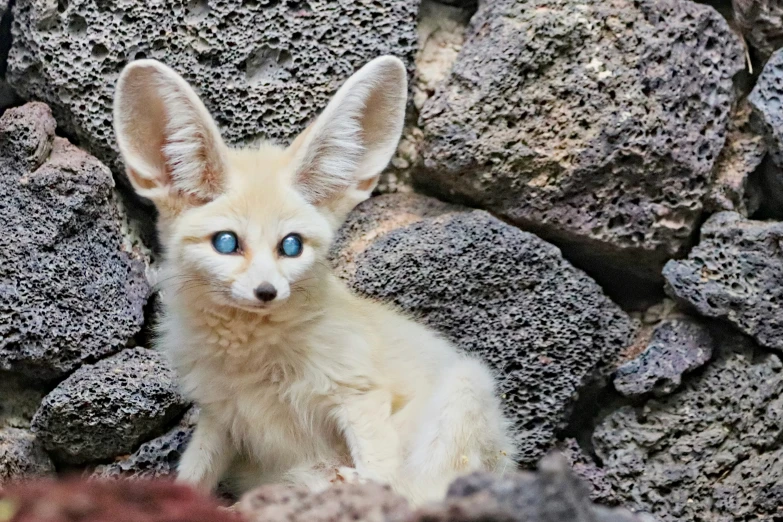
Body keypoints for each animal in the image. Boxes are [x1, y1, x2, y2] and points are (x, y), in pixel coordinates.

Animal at [108, 53, 516, 504]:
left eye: (291, 246)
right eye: (227, 242)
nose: (266, 291)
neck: (250, 357)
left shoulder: (359, 393)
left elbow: (383, 473)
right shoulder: (221, 414)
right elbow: (194, 474)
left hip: (466, 384)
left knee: (419, 491)